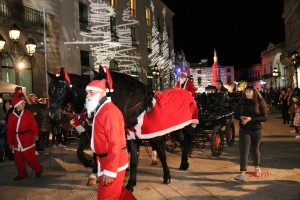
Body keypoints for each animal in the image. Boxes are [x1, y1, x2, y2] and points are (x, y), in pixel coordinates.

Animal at [48, 67, 191, 192]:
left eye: (61, 89)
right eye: (50, 90)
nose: (52, 114)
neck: (139, 107)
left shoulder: (153, 135)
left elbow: (161, 155)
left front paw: (166, 176)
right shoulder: (92, 132)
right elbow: (83, 152)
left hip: (176, 129)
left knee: (183, 142)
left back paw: (183, 163)